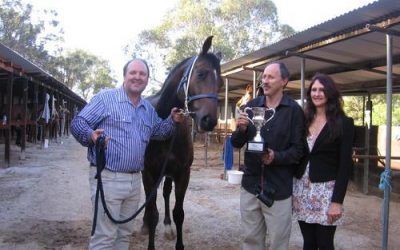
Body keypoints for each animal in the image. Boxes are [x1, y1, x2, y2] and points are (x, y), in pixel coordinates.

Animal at [141, 35, 223, 250]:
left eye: (220, 82)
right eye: (201, 73)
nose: (209, 120)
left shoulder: (182, 173)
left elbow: (179, 213)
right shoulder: (149, 172)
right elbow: (152, 213)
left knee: (166, 193)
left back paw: (167, 227)